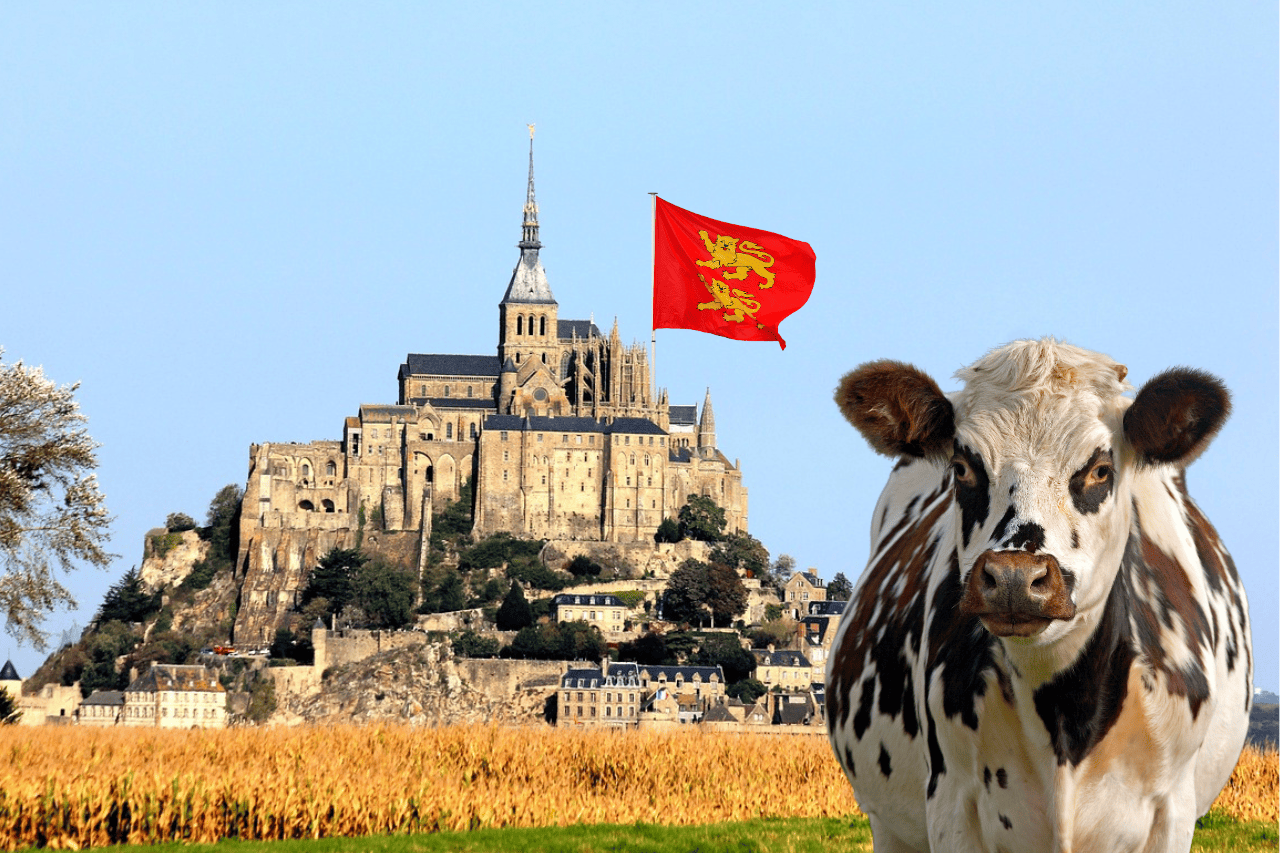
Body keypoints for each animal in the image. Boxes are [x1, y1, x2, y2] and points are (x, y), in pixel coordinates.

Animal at [825, 339, 1252, 853]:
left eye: (1101, 470)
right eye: (962, 468)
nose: (1014, 577)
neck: (1064, 717)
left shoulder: (1173, 812)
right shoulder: (950, 802)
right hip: (889, 827)